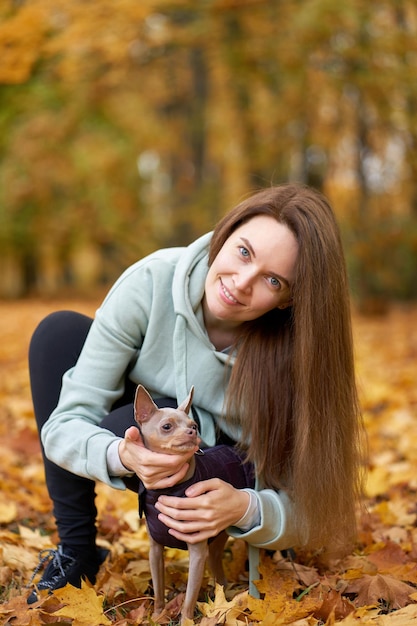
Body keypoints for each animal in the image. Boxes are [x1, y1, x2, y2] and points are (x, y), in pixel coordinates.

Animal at [135, 382, 255, 620]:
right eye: (167, 426)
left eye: (195, 426)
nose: (191, 432)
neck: (170, 488)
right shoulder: (155, 551)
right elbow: (159, 589)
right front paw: (158, 616)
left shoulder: (197, 554)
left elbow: (189, 599)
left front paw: (186, 621)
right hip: (217, 539)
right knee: (218, 566)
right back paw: (221, 597)